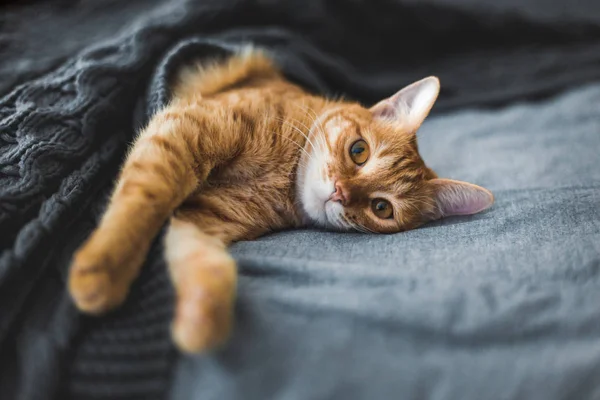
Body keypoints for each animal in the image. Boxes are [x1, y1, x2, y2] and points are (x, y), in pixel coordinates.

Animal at [68, 49, 494, 354]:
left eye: (381, 208)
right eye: (359, 151)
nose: (340, 192)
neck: (282, 181)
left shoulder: (202, 218)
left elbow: (209, 267)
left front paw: (199, 323)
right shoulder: (185, 128)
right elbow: (145, 197)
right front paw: (103, 269)